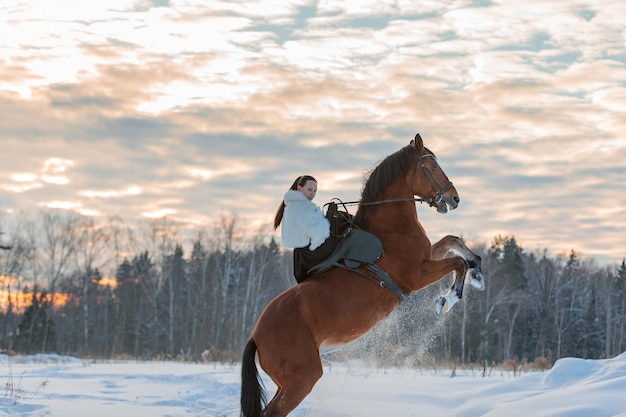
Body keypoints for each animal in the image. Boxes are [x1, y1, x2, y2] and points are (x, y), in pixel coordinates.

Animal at [239, 134, 482, 416]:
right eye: (432, 165)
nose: (454, 198)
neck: (391, 229)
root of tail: (256, 335)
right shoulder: (419, 273)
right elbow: (458, 263)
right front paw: (447, 300)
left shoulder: (428, 256)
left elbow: (453, 241)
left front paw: (478, 271)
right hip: (301, 380)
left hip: (287, 383)